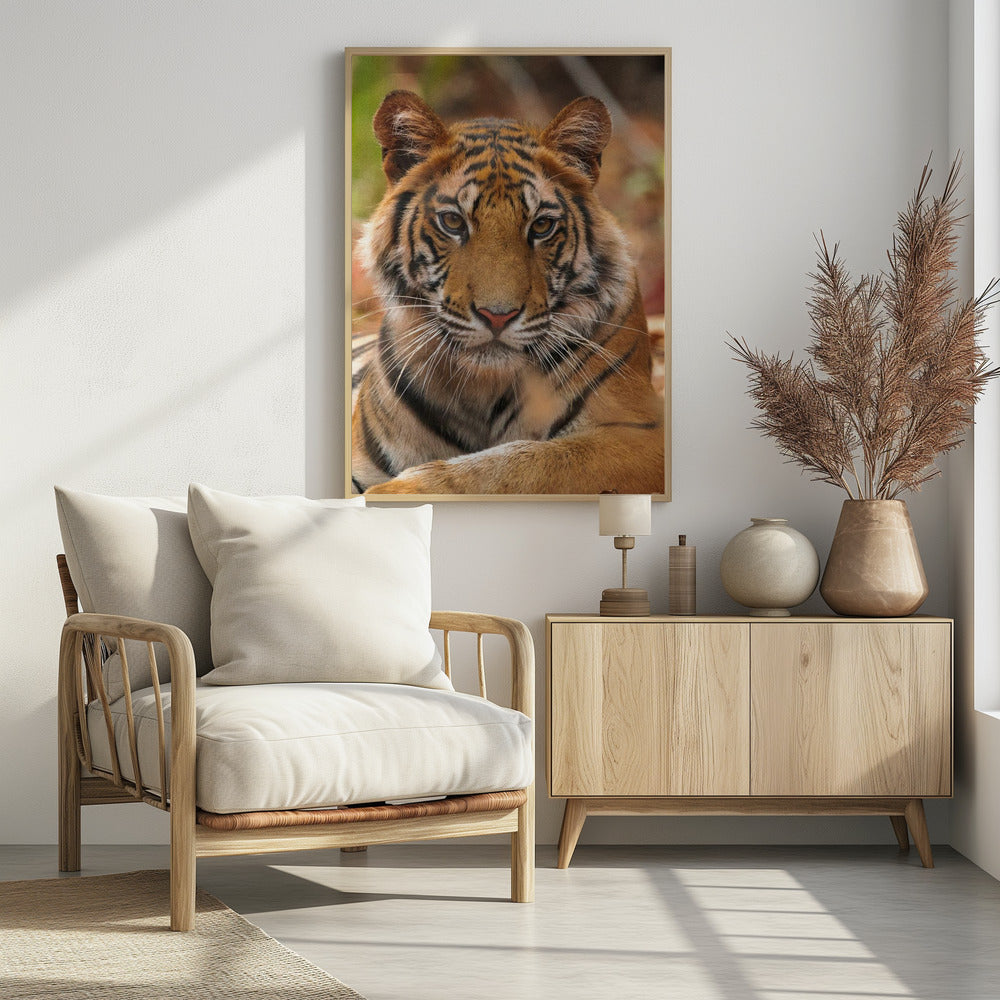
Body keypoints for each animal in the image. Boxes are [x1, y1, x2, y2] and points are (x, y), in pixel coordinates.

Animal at [352, 89, 664, 496]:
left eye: (542, 226)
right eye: (452, 222)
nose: (497, 316)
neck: (483, 387)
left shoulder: (641, 434)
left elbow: (526, 463)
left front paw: (403, 489)